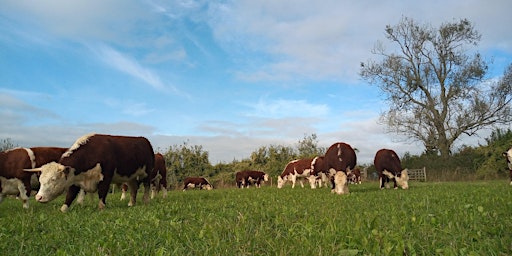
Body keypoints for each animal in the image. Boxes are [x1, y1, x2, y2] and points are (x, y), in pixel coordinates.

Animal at [26, 133, 154, 213]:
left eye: (53, 179)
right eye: (41, 180)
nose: (38, 197)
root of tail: (144, 140)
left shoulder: (106, 177)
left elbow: (102, 193)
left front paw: (101, 208)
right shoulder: (75, 179)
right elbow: (70, 195)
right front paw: (63, 209)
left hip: (147, 173)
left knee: (146, 186)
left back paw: (146, 201)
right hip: (130, 177)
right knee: (134, 188)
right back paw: (131, 203)